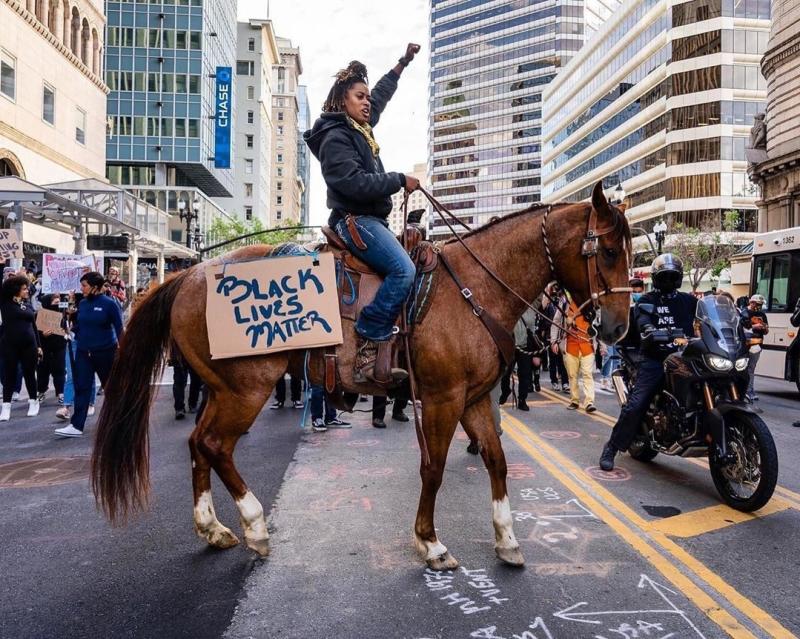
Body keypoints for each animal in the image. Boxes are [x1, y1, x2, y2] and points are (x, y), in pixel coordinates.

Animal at [92, 184, 632, 568]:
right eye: (606, 252)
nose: (618, 328)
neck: (474, 289)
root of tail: (188, 274)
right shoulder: (443, 398)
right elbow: (433, 467)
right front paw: (430, 543)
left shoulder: (476, 398)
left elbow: (497, 462)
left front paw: (507, 538)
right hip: (247, 387)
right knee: (215, 445)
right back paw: (254, 527)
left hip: (220, 388)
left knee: (198, 444)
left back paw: (213, 528)